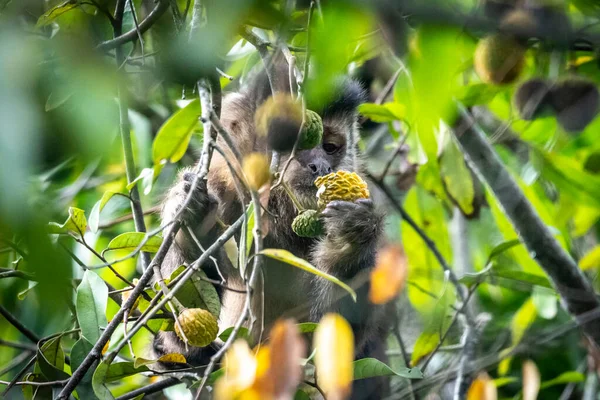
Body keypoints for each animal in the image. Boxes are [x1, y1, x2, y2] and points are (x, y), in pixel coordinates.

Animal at [152, 61, 392, 398]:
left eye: (330, 147)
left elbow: (335, 339)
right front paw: (192, 213)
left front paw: (349, 240)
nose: (321, 166)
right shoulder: (225, 193)